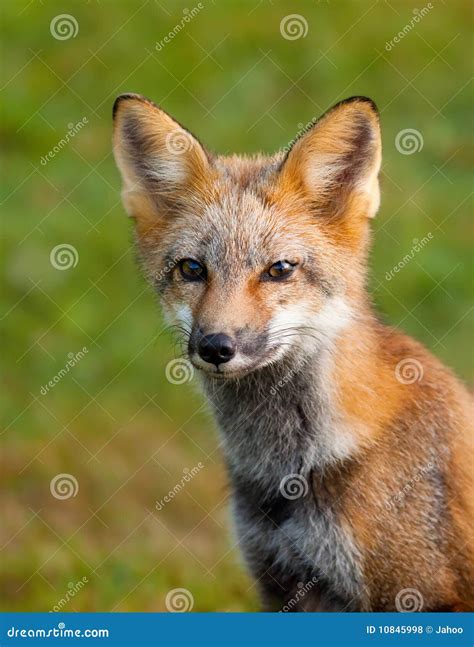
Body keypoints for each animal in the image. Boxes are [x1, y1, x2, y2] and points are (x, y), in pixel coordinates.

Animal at [113, 92, 472, 612]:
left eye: (279, 269)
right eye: (192, 269)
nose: (215, 346)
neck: (287, 473)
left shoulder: (418, 594)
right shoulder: (280, 581)